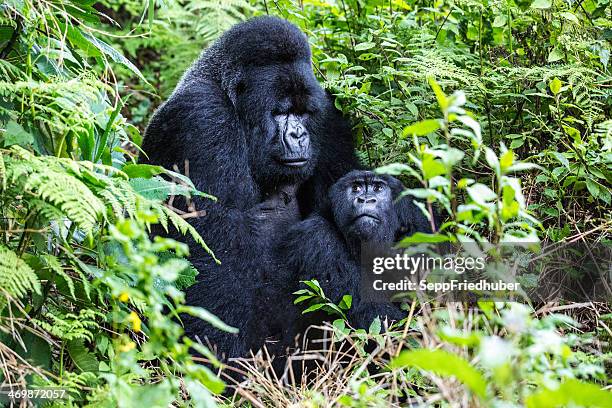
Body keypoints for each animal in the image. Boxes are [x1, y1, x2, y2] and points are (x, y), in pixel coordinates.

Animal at [139, 17, 358, 358]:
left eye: (303, 112)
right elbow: (211, 261)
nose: (299, 135)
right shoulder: (202, 119)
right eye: (281, 112)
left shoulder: (328, 117)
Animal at [266, 169, 432, 354]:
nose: (366, 199)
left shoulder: (418, 228)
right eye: (356, 188)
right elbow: (375, 316)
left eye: (378, 188)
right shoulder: (318, 237)